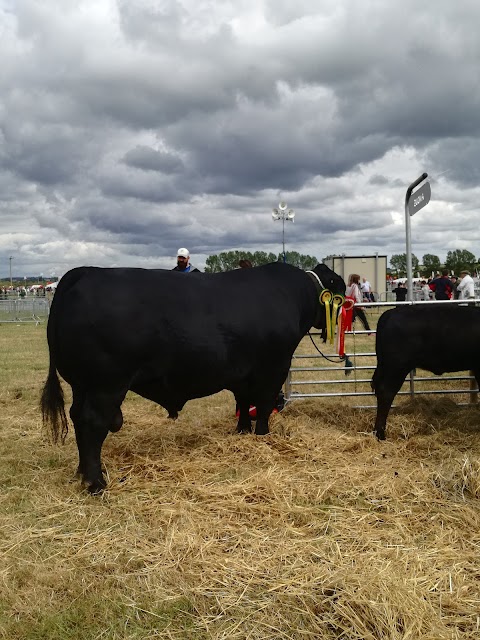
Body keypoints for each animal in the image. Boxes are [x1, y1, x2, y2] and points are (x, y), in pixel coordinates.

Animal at [39, 262, 344, 492]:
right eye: (339, 290)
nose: (347, 314)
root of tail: (86, 272)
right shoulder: (273, 368)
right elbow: (264, 405)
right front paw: (263, 436)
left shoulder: (243, 374)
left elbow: (244, 402)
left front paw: (242, 432)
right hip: (106, 384)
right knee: (92, 422)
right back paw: (96, 483)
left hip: (82, 385)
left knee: (77, 418)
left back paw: (82, 473)